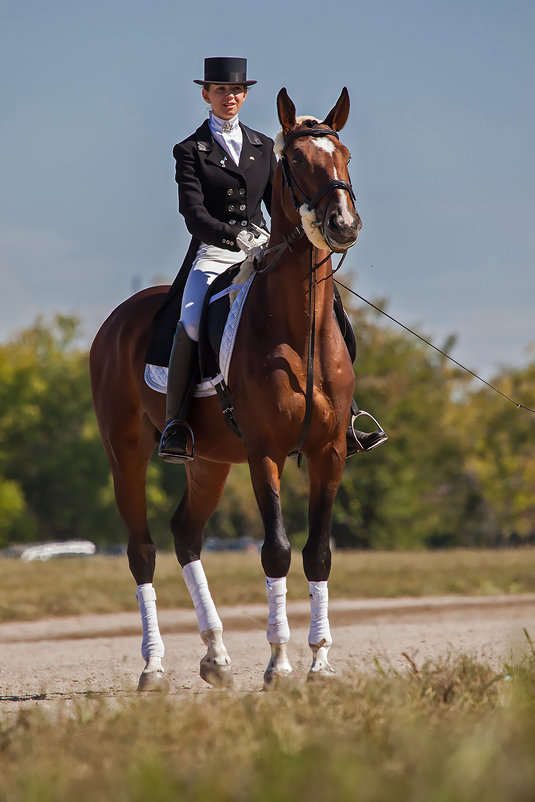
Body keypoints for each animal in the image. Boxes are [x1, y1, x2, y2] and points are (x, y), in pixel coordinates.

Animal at [90, 86, 362, 688]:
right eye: (296, 161)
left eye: (345, 155)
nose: (343, 225)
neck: (297, 328)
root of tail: (117, 319)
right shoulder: (265, 452)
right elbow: (277, 550)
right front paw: (279, 663)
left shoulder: (330, 451)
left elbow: (320, 553)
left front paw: (321, 662)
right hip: (126, 454)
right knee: (142, 550)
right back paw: (153, 666)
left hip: (209, 462)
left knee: (185, 534)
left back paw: (214, 655)